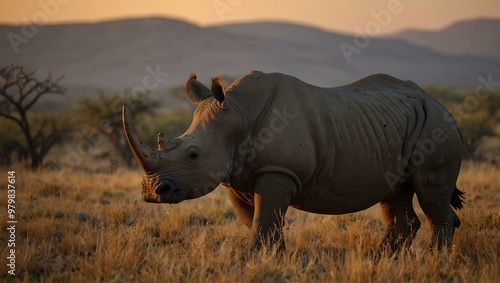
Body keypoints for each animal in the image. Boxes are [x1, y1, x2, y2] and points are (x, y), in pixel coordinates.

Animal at [122, 71, 464, 253]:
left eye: (193, 155)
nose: (152, 193)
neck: (238, 114)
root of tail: (442, 105)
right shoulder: (235, 177)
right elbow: (258, 221)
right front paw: (273, 258)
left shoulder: (278, 170)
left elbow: (264, 220)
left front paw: (253, 260)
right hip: (398, 125)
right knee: (396, 194)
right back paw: (380, 259)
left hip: (437, 126)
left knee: (429, 191)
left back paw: (435, 260)